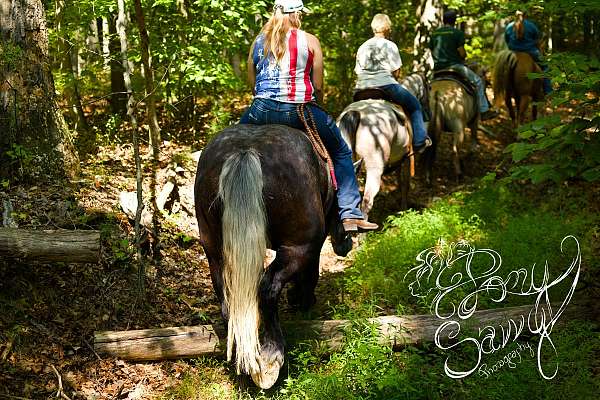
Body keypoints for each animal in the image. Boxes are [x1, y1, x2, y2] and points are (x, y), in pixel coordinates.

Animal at [195, 124, 352, 388]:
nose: (346, 244)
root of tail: (245, 151)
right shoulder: (312, 244)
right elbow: (310, 275)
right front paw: (303, 303)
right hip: (299, 245)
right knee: (268, 287)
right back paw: (271, 357)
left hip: (213, 249)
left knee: (227, 297)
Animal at [336, 73, 428, 220]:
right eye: (429, 88)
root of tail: (356, 112)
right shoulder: (407, 158)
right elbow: (405, 184)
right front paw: (404, 209)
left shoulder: (399, 159)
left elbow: (400, 181)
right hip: (374, 168)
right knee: (367, 200)